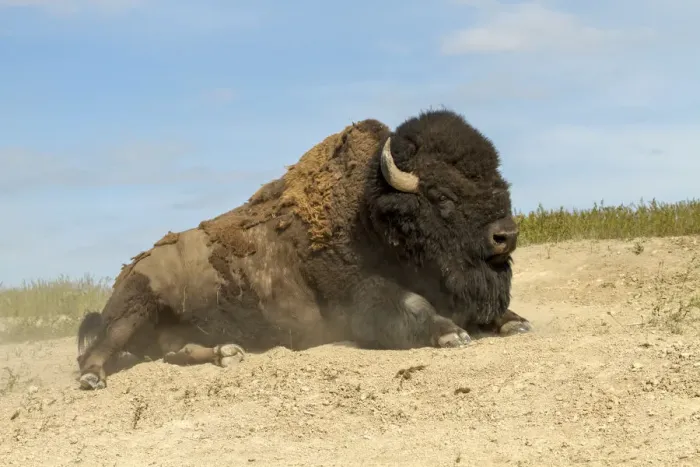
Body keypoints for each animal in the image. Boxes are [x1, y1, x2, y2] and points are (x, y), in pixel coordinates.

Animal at [76, 108, 531, 390]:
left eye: (498, 180)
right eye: (441, 196)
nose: (505, 235)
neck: (370, 213)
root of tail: (128, 268)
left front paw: (515, 323)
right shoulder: (360, 301)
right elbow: (412, 306)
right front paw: (450, 333)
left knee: (175, 351)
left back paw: (229, 353)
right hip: (134, 310)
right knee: (99, 349)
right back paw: (92, 379)